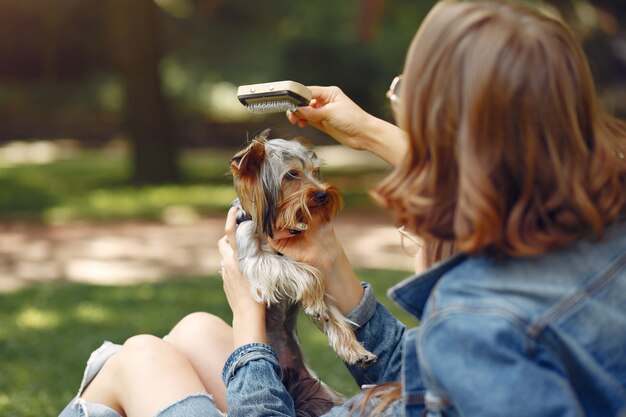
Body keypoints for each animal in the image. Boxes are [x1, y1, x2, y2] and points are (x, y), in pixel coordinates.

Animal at [229, 130, 376, 412]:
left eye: (314, 171)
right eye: (291, 175)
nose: (322, 195)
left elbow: (330, 309)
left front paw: (354, 348)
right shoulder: (255, 262)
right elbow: (309, 275)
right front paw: (317, 305)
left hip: (325, 396)